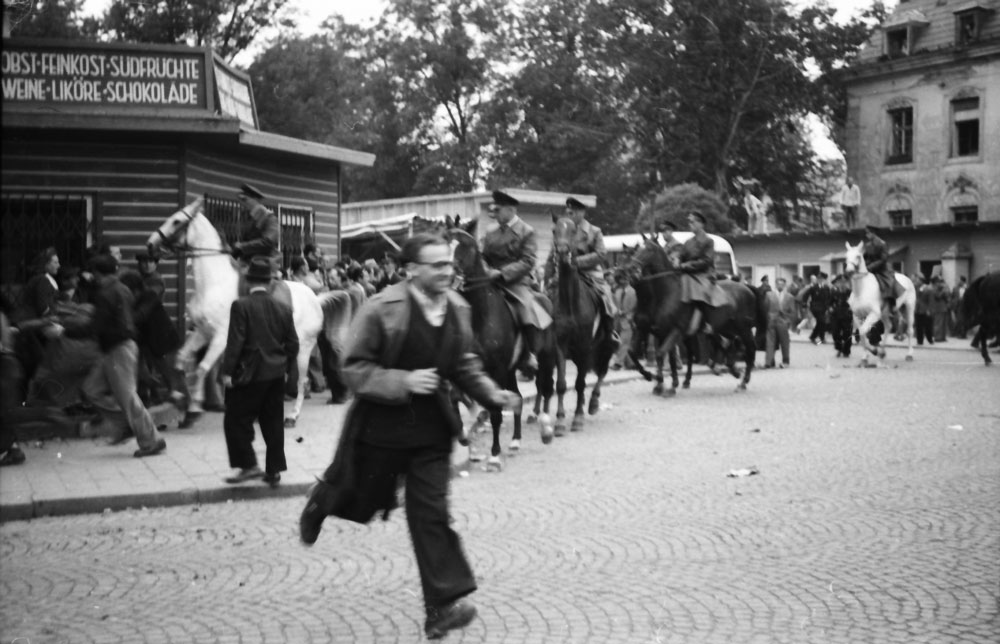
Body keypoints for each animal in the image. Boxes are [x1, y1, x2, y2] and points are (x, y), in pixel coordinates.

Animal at [146, 196, 352, 428]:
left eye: (176, 221)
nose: (151, 244)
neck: (214, 282)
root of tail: (315, 299)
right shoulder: (203, 332)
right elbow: (181, 361)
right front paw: (179, 398)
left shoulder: (221, 338)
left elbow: (202, 368)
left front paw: (194, 409)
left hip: (304, 348)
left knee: (301, 380)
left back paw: (292, 416)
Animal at [452, 224, 560, 470]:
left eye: (464, 246)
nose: (450, 277)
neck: (480, 316)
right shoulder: (474, 368)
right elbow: (465, 399)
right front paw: (468, 438)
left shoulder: (497, 369)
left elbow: (496, 412)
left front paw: (493, 454)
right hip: (511, 370)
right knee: (519, 396)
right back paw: (515, 441)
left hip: (545, 357)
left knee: (546, 387)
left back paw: (546, 428)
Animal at [628, 233, 760, 392]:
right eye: (636, 249)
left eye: (649, 250)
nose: (631, 270)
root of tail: (747, 287)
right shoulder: (651, 330)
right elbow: (634, 352)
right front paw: (654, 378)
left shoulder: (674, 330)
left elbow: (661, 354)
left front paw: (660, 382)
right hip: (726, 327)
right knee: (727, 344)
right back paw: (729, 370)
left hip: (743, 328)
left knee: (749, 348)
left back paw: (743, 382)